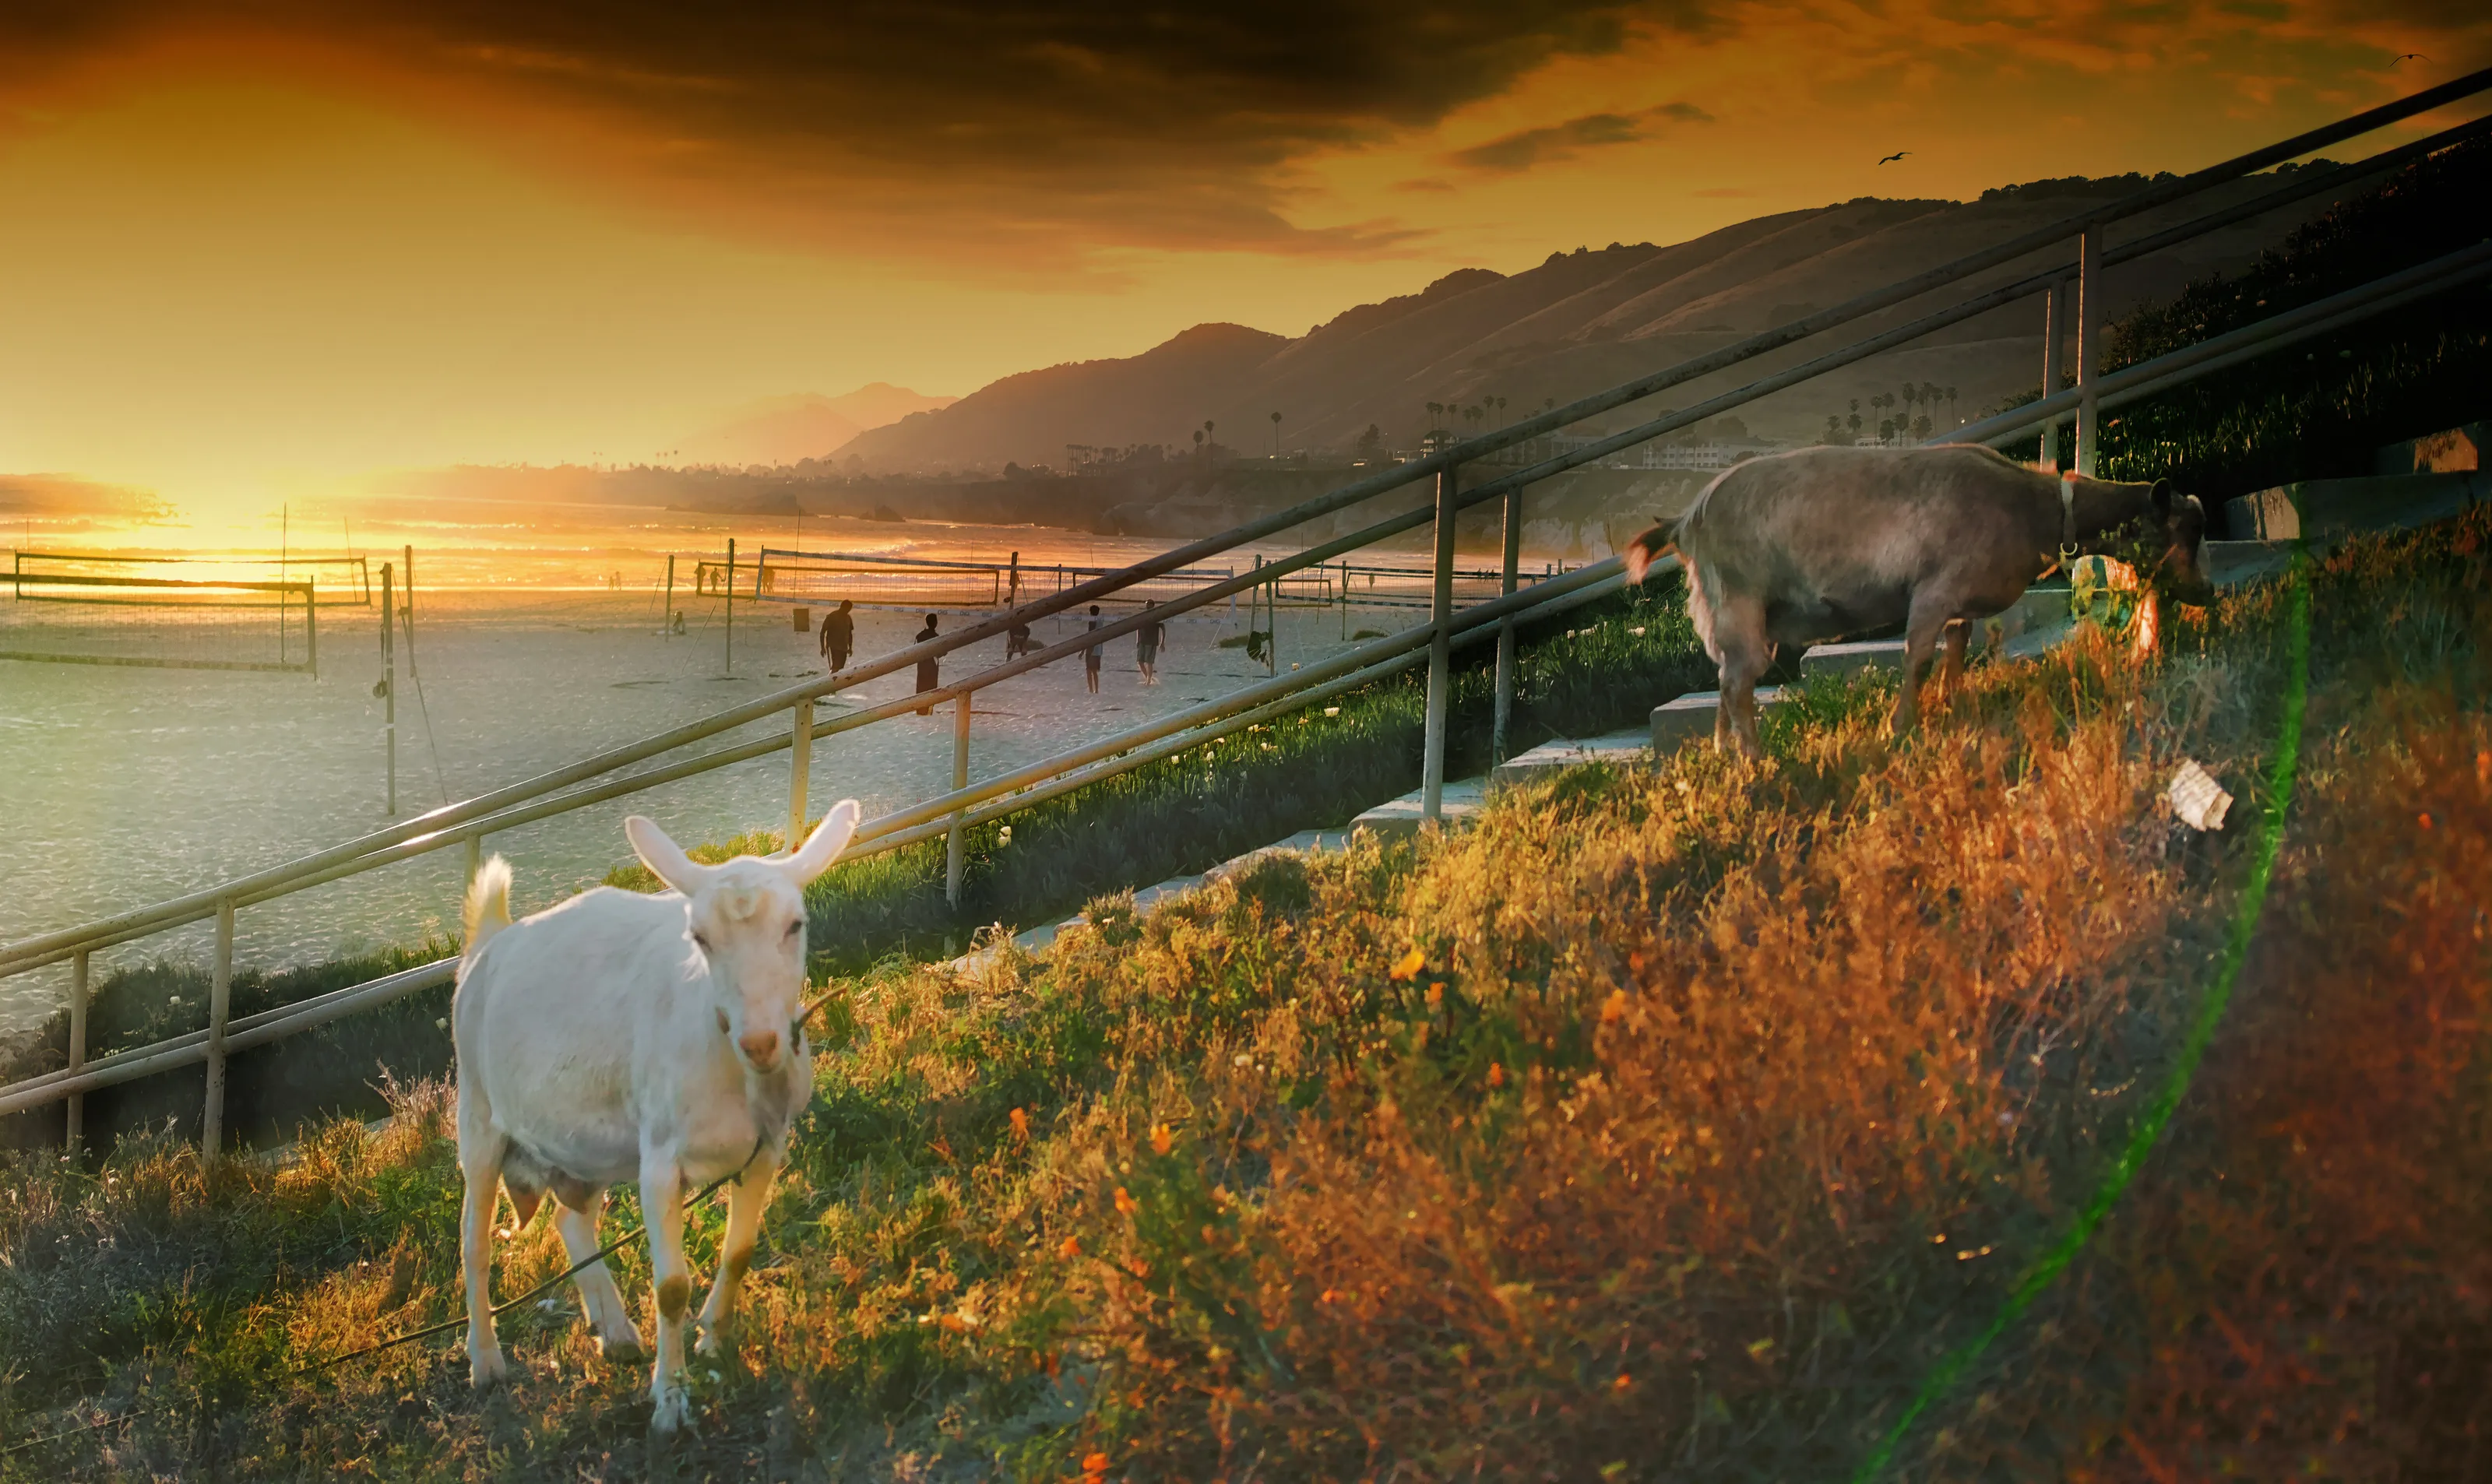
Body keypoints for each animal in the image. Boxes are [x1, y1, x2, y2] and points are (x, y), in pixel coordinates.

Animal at [453, 801, 860, 1438]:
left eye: (797, 925)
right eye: (700, 938)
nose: (762, 1042)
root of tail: (488, 942)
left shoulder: (767, 1148)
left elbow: (739, 1253)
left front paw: (713, 1341)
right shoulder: (661, 1160)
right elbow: (670, 1288)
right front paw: (670, 1402)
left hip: (583, 1142)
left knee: (571, 1220)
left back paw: (617, 1333)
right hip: (478, 1114)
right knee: (473, 1243)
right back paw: (486, 1361)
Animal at [1624, 444, 2208, 756]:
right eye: (2185, 531)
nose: (2204, 592)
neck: (2034, 508)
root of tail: (1686, 520)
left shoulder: (1958, 602)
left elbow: (1957, 650)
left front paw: (1954, 706)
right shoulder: (1933, 591)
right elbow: (1918, 660)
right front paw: (1899, 726)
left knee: (1727, 681)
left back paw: (1725, 752)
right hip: (1738, 603)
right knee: (1736, 684)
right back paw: (1753, 760)